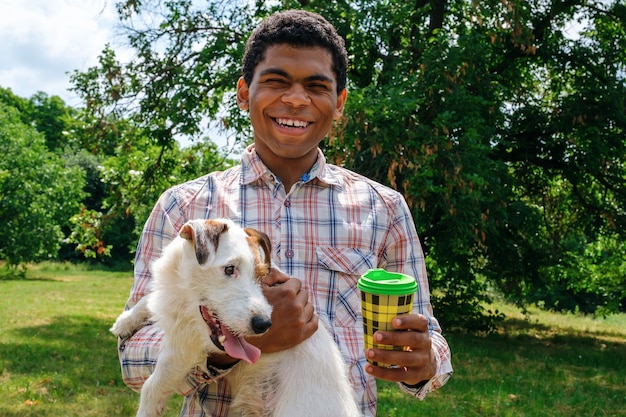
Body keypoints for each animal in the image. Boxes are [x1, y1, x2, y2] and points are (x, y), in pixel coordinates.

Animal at [109, 219, 358, 414]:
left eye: (261, 276)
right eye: (230, 269)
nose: (264, 324)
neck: (183, 290)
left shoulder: (183, 349)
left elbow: (153, 386)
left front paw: (148, 409)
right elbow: (148, 299)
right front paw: (126, 320)